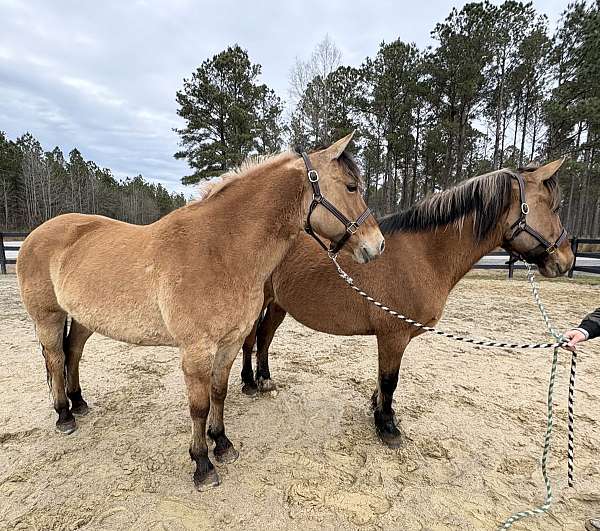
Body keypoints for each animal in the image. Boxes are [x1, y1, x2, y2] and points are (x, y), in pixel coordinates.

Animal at [18, 135, 386, 492]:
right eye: (351, 187)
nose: (377, 245)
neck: (220, 248)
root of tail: (35, 235)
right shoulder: (197, 350)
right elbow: (199, 406)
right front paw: (202, 464)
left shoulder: (230, 343)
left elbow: (219, 393)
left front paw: (222, 444)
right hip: (48, 316)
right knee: (55, 358)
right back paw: (64, 415)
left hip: (83, 318)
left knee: (73, 353)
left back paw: (78, 402)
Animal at [241, 160, 576, 446]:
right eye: (555, 207)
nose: (567, 259)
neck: (424, 255)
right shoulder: (394, 334)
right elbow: (390, 380)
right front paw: (387, 426)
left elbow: (383, 380)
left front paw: (379, 409)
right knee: (250, 340)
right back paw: (249, 383)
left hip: (279, 304)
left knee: (265, 337)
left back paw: (265, 379)